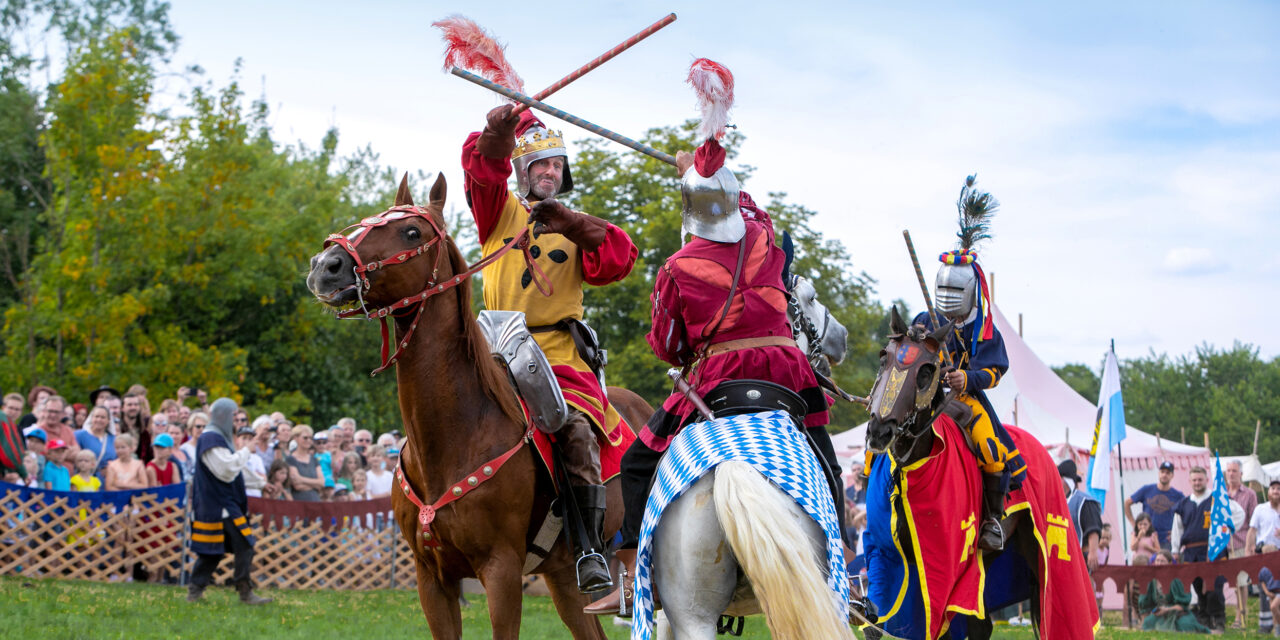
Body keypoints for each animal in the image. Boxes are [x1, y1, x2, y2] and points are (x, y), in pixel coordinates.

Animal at [305, 175, 655, 640]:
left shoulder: (501, 572)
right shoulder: (432, 579)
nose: (325, 265)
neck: (454, 433)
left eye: (411, 232)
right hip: (564, 575)